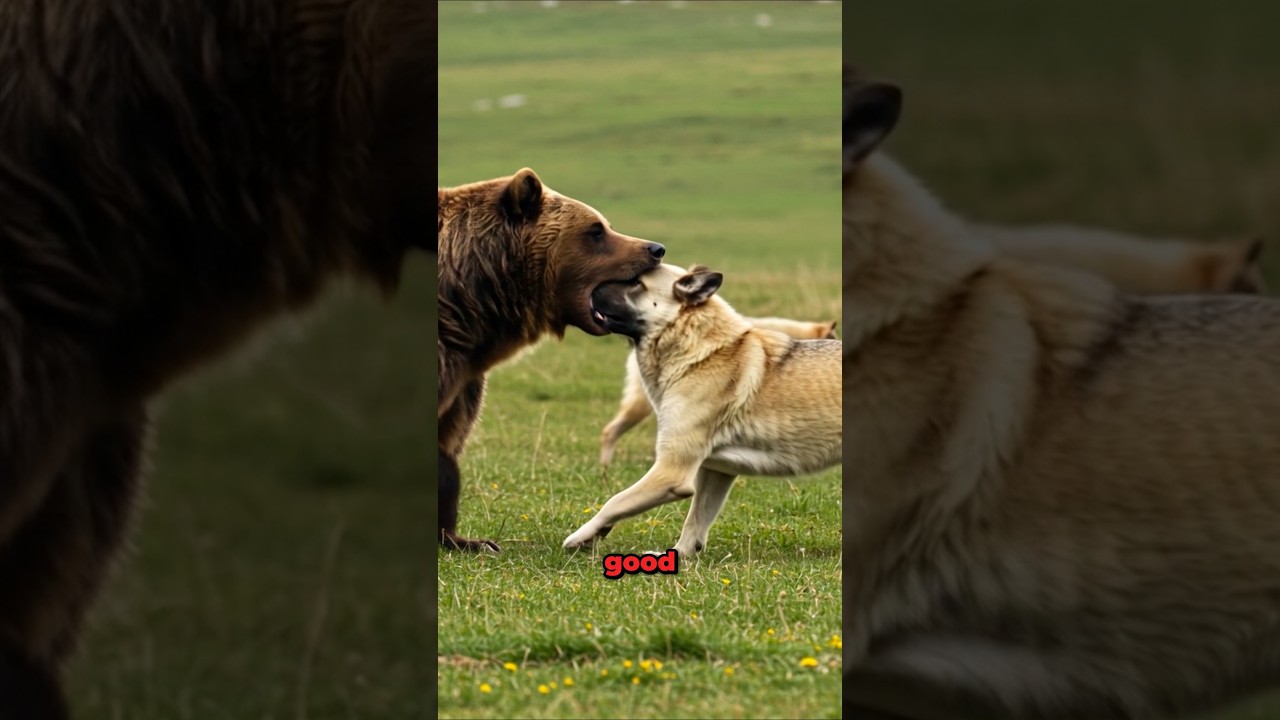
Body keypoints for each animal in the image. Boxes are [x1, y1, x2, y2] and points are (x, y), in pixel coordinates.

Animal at [437, 168, 666, 552]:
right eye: (595, 230)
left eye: (605, 225)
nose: (655, 248)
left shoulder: (462, 376)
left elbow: (447, 441)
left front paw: (468, 540)